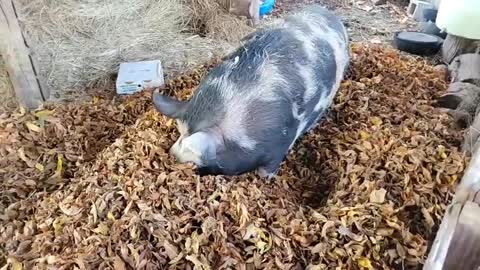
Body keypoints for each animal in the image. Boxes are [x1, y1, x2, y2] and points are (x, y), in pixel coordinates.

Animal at [153, 4, 348, 179]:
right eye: (179, 134)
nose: (172, 153)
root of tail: (332, 16)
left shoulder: (281, 143)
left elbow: (268, 169)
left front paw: (266, 179)